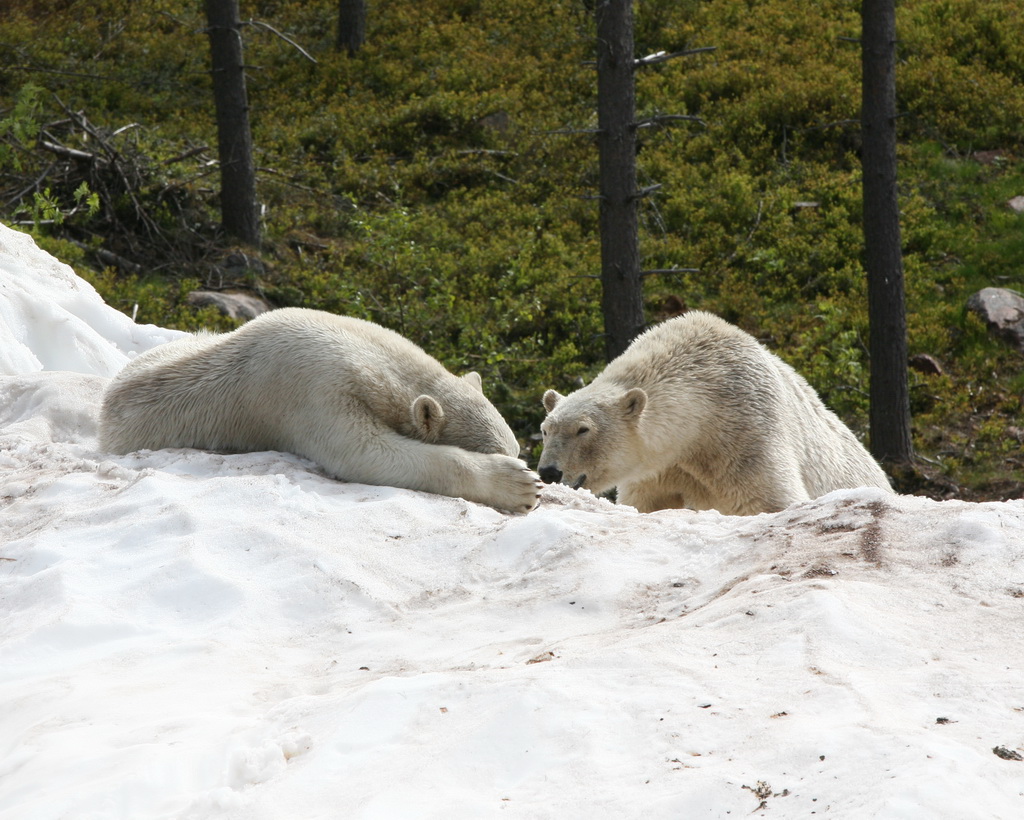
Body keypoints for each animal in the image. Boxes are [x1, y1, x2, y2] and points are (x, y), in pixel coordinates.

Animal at [540, 311, 892, 515]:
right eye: (546, 429)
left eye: (583, 429)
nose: (549, 471)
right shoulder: (660, 469)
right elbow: (647, 502)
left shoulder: (747, 429)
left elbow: (772, 497)